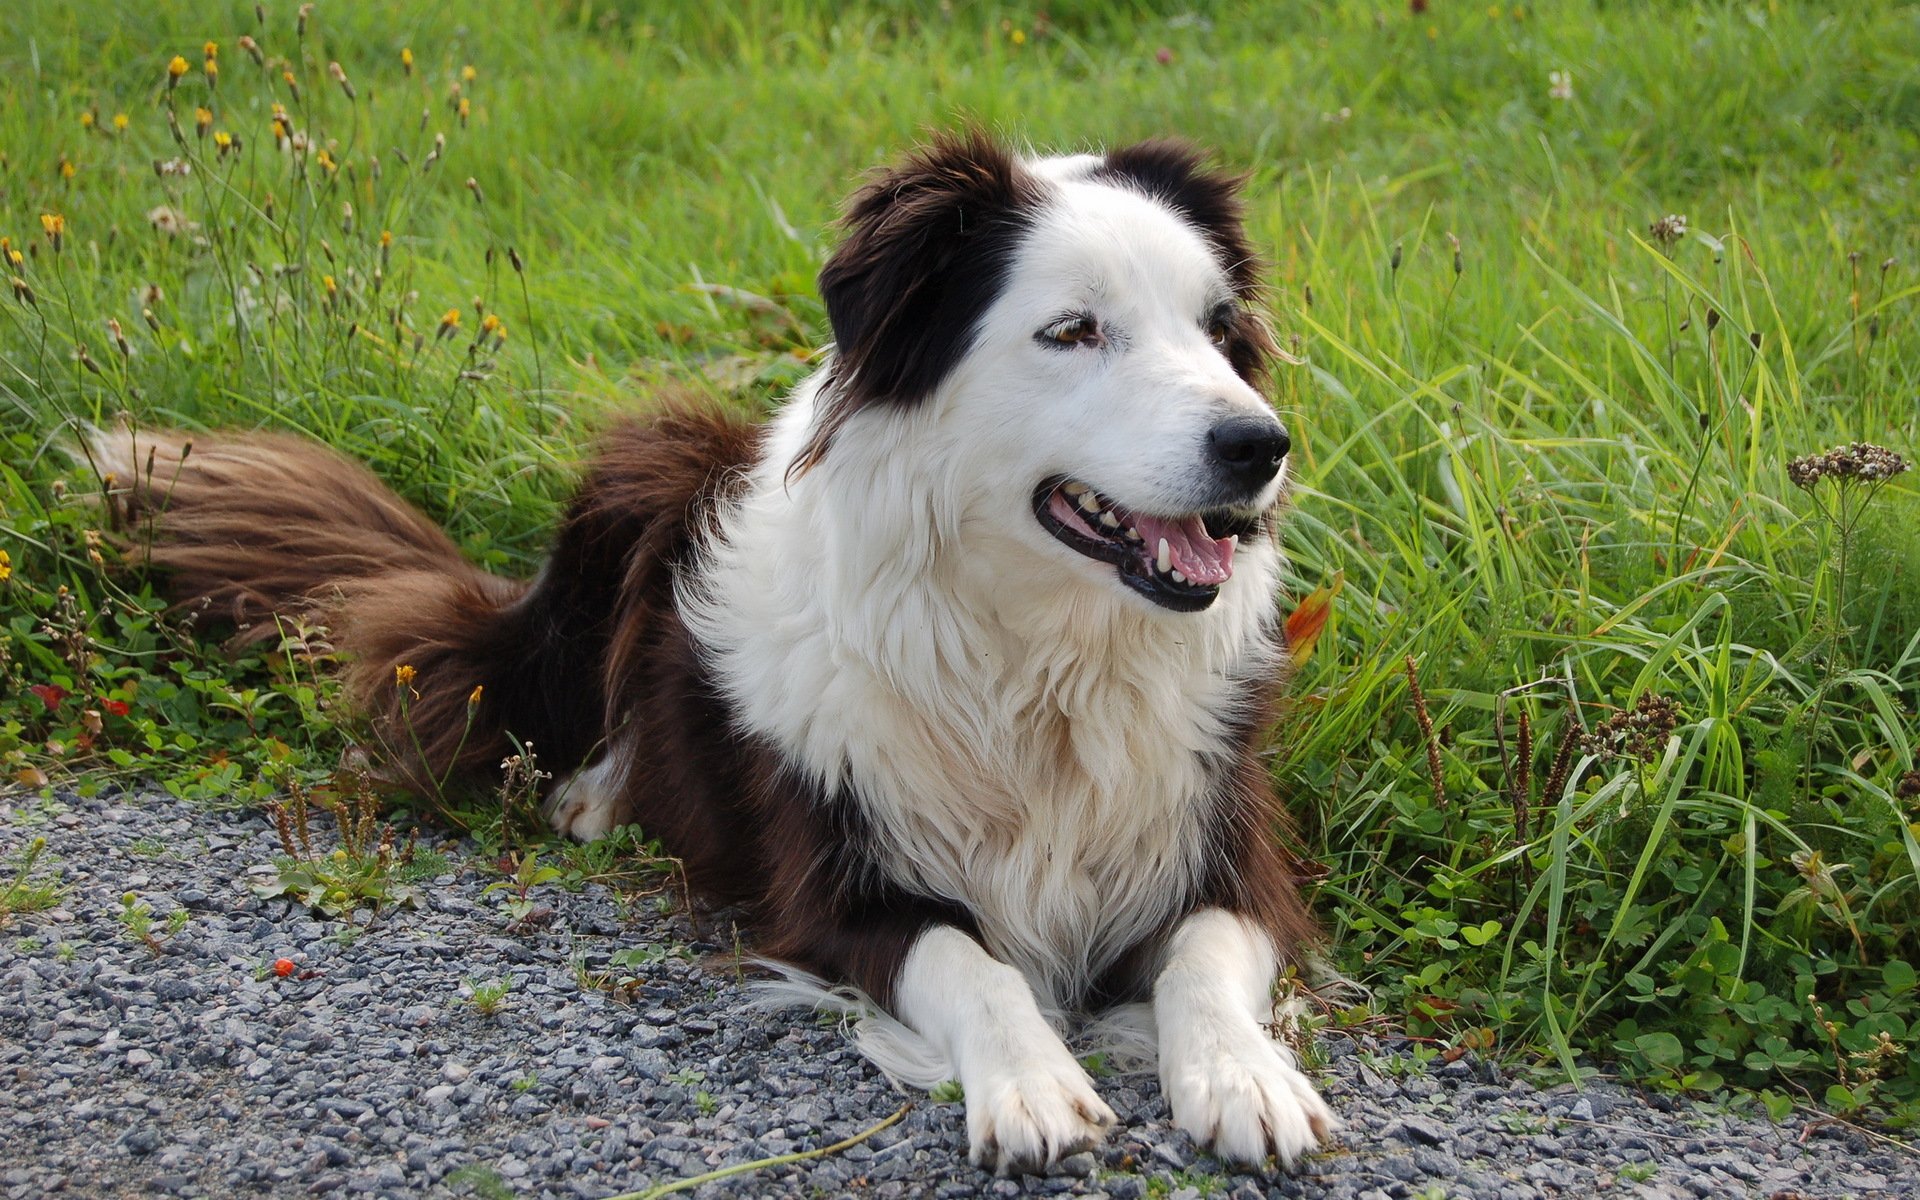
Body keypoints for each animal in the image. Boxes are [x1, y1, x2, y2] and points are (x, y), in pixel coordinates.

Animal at [101, 130, 1336, 1167]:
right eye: (1073, 330)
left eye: (1219, 331)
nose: (1261, 445)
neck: (1041, 660)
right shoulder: (836, 881)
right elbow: (972, 965)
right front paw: (1031, 1080)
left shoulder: (1222, 841)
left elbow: (1206, 958)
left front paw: (1245, 1077)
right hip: (636, 473)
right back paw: (596, 793)